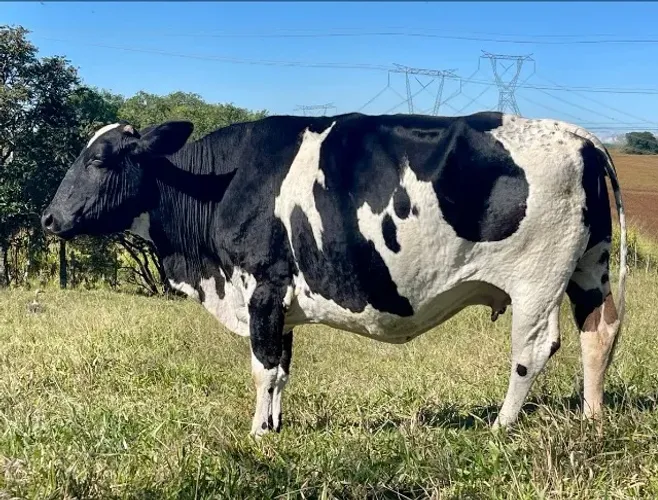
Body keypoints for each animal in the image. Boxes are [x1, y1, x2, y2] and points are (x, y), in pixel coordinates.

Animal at [41, 111, 627, 437]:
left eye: (99, 159)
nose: (48, 218)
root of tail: (580, 137)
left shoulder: (263, 285)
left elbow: (263, 369)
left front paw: (257, 433)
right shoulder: (280, 302)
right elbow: (282, 369)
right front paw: (276, 426)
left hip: (537, 279)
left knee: (533, 349)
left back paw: (501, 426)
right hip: (588, 266)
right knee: (599, 331)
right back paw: (591, 418)